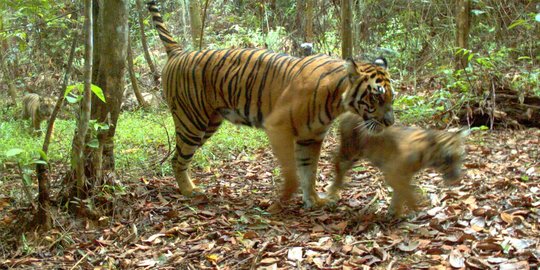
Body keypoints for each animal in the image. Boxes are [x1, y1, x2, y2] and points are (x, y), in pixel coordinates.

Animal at [146, 1, 394, 208]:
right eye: (376, 97)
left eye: (392, 97)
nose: (390, 122)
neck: (336, 101)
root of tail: (179, 53)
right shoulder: (279, 127)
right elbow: (292, 170)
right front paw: (286, 197)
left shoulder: (311, 137)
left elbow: (309, 170)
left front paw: (313, 200)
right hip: (192, 122)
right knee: (177, 158)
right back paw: (189, 191)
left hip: (209, 123)